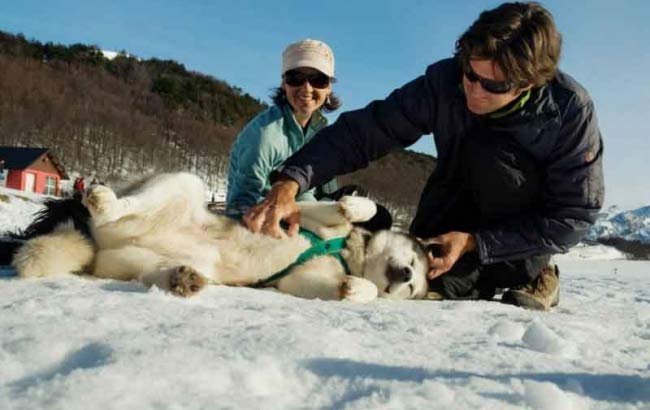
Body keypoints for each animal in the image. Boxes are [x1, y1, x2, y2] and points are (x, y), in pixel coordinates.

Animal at [10, 171, 430, 302]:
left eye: (412, 286)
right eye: (411, 262)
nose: (407, 274)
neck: (347, 254)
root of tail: (102, 244)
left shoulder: (300, 281)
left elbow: (339, 287)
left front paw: (355, 289)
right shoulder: (301, 214)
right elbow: (359, 209)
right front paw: (356, 206)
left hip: (151, 261)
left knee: (151, 275)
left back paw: (181, 279)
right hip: (185, 184)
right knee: (121, 206)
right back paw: (104, 200)